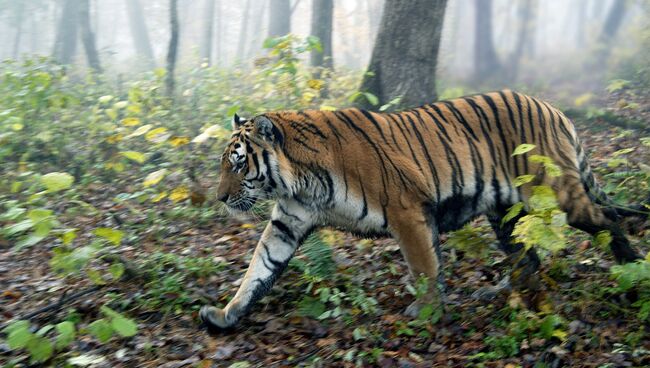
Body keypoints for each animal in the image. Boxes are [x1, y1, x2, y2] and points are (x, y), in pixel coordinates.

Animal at [199, 89, 644, 330]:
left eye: (238, 163)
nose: (220, 198)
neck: (299, 181)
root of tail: (553, 109)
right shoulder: (287, 223)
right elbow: (258, 270)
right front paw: (226, 315)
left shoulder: (406, 211)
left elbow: (424, 266)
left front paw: (426, 311)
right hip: (505, 212)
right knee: (525, 253)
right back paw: (502, 290)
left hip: (556, 193)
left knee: (607, 220)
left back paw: (634, 272)